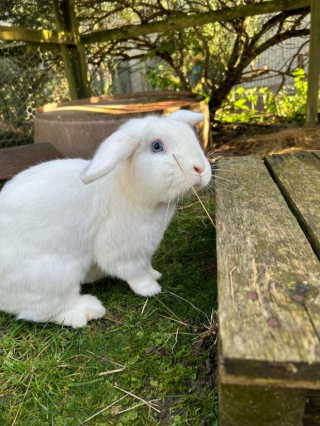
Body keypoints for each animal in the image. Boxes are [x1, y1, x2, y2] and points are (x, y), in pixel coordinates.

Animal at [0, 110, 211, 326]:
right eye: (157, 146)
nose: (200, 169)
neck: (129, 188)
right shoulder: (124, 250)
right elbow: (134, 272)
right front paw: (151, 288)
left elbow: (146, 265)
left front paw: (155, 274)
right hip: (53, 276)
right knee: (42, 311)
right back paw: (86, 310)